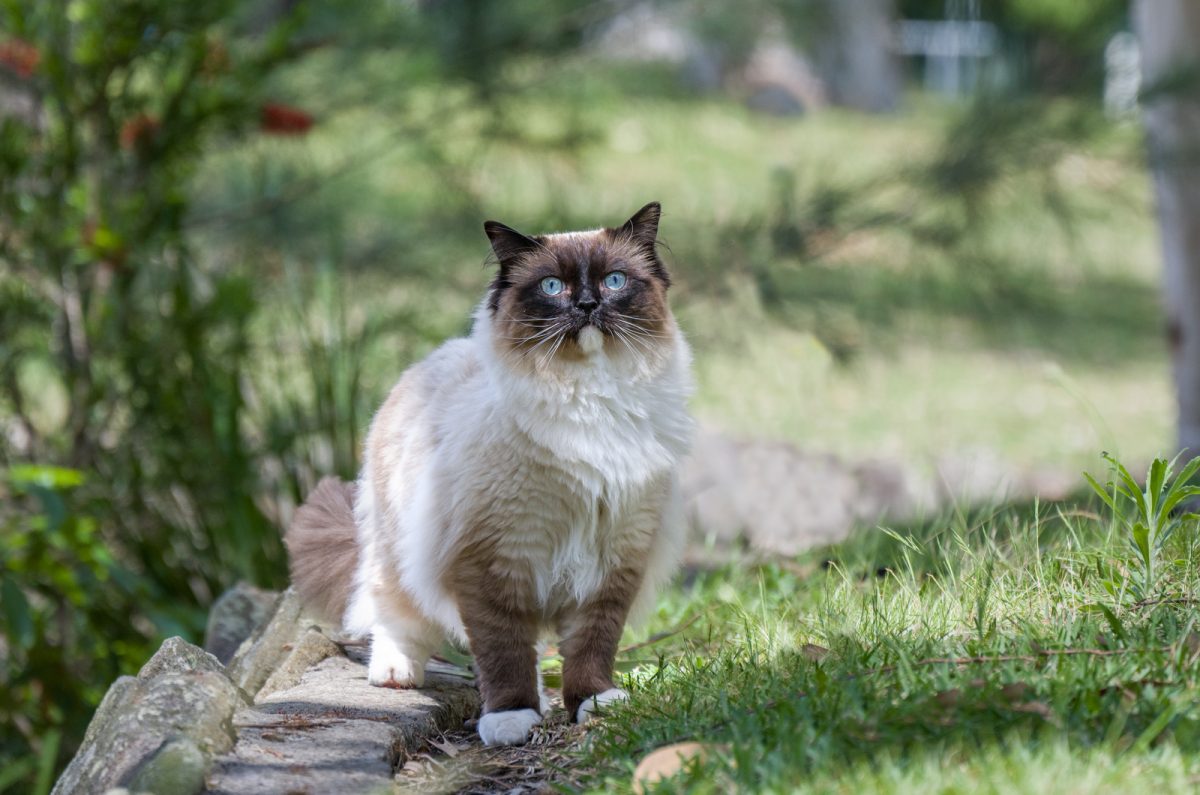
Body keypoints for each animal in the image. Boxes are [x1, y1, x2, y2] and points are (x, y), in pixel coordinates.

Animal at [285, 200, 696, 749]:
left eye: (614, 280)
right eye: (552, 287)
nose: (588, 304)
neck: (589, 400)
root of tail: (430, 360)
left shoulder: (614, 560)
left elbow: (592, 644)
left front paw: (593, 702)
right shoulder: (493, 561)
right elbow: (504, 652)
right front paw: (511, 719)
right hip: (399, 550)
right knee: (389, 609)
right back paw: (395, 673)